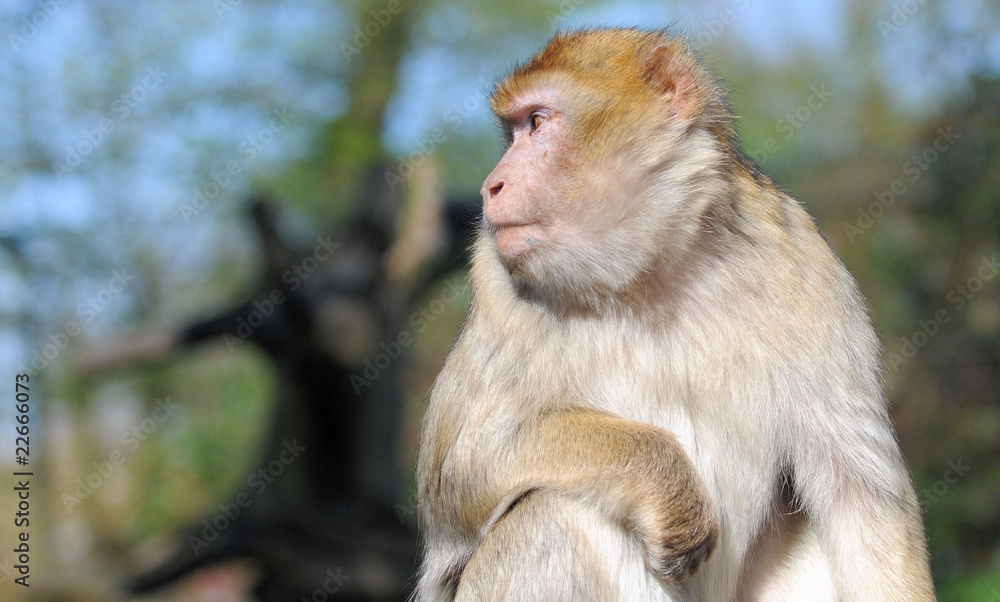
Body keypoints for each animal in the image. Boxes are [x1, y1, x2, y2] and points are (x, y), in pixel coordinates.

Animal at [415, 28, 935, 601]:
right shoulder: (494, 277)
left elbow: (861, 499)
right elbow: (463, 469)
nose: (491, 185)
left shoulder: (804, 261)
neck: (651, 270)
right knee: (553, 515)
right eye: (512, 131)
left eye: (535, 123)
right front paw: (669, 488)